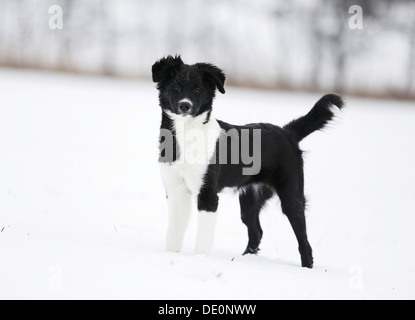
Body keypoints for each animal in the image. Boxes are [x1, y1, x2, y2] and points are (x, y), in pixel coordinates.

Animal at [153, 55, 344, 268]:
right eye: (176, 87)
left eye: (197, 90)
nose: (185, 106)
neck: (186, 135)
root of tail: (286, 133)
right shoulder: (176, 190)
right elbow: (173, 233)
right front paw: (171, 256)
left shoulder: (208, 194)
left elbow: (203, 238)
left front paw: (200, 260)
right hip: (250, 198)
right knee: (256, 231)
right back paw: (247, 259)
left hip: (292, 196)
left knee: (303, 240)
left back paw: (306, 267)